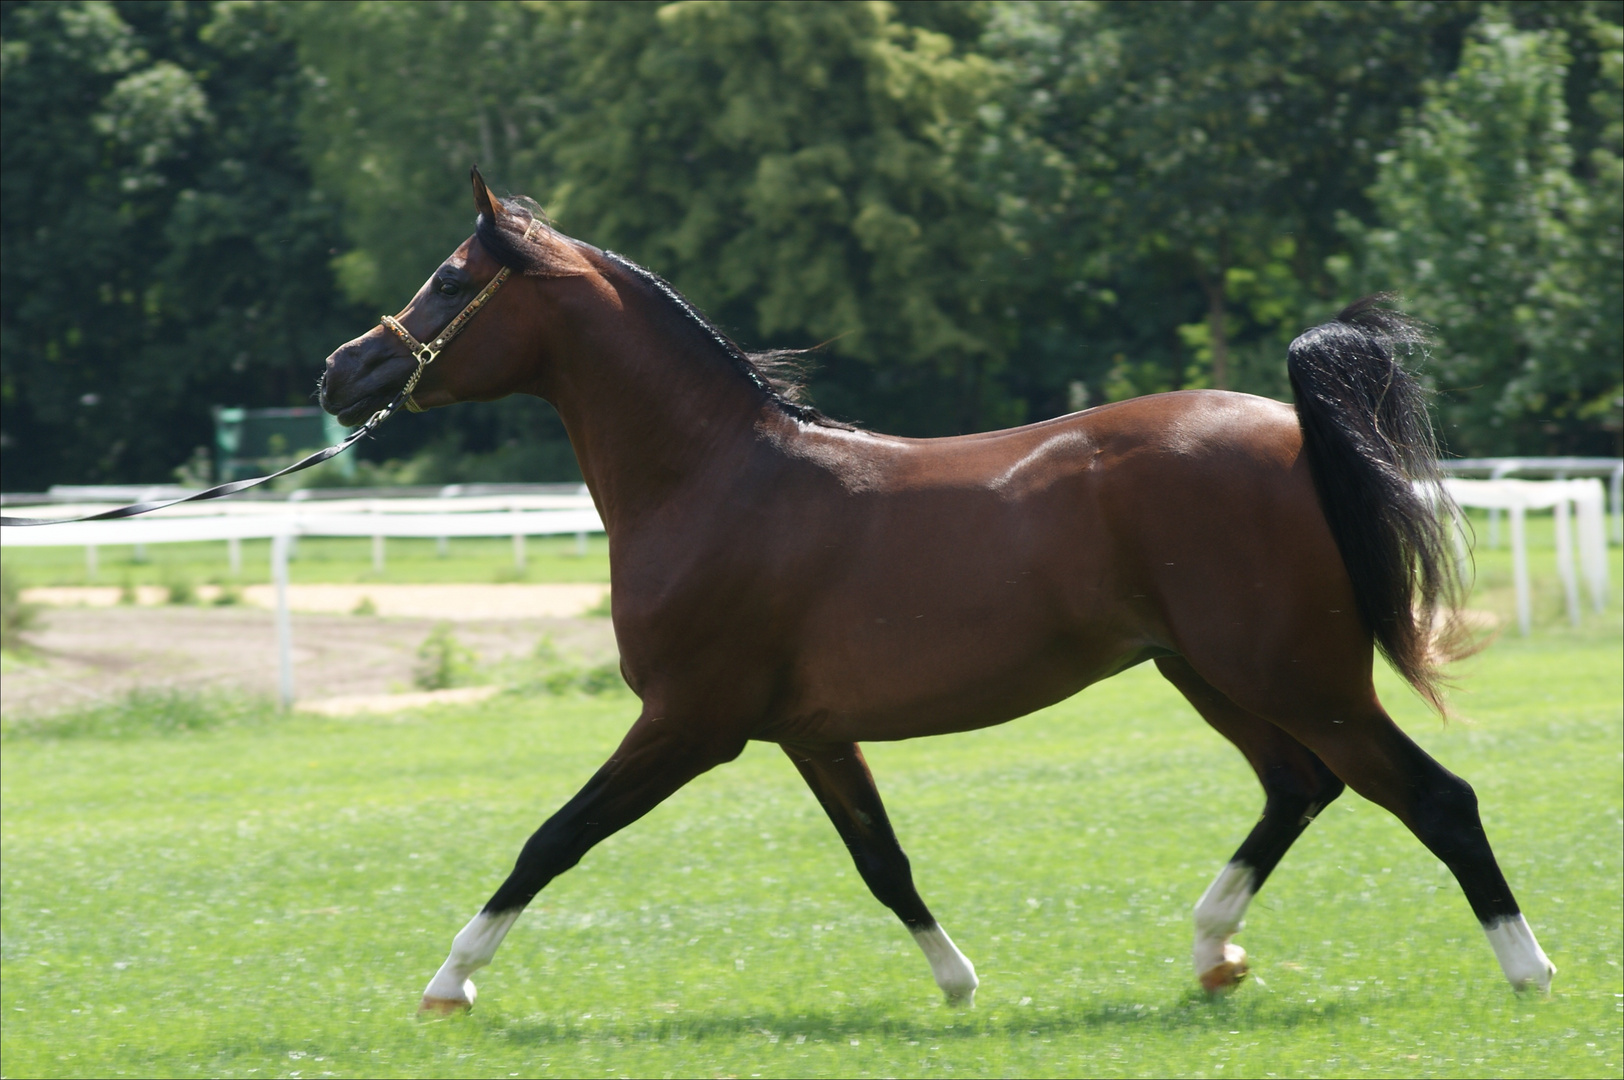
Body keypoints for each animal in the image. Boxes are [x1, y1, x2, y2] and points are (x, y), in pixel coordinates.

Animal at [319, 166, 1559, 1013]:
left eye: (448, 281)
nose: (343, 371)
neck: (716, 476)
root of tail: (1293, 432)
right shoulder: (809, 734)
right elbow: (883, 861)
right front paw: (960, 984)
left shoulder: (686, 725)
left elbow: (550, 839)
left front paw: (450, 982)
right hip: (1212, 674)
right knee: (1300, 787)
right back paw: (1213, 952)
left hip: (1297, 678)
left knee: (1434, 797)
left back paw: (1528, 971)